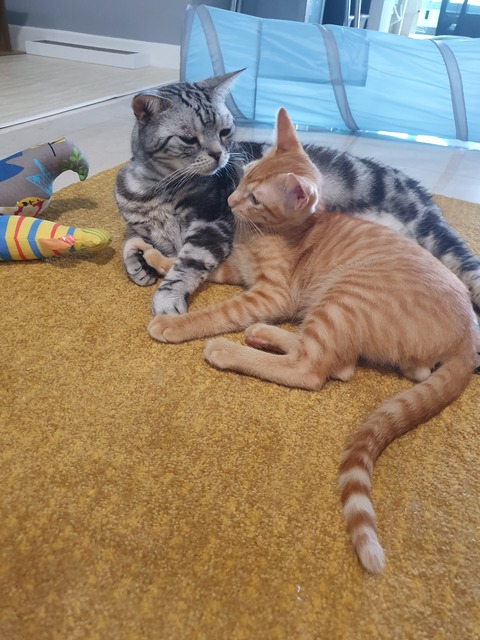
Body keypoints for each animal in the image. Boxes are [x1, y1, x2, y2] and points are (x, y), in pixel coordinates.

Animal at [114, 71, 480, 322]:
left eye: (225, 131)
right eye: (189, 139)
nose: (220, 155)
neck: (157, 187)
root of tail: (420, 189)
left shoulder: (210, 226)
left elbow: (186, 263)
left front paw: (167, 298)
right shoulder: (141, 226)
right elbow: (129, 242)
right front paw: (138, 267)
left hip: (435, 236)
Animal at [143, 108, 478, 573]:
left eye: (256, 199)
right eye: (243, 177)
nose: (230, 201)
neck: (260, 235)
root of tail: (470, 330)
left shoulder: (269, 294)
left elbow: (216, 313)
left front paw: (175, 324)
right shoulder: (237, 271)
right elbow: (193, 264)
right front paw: (156, 257)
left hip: (342, 298)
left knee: (315, 369)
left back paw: (230, 349)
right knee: (347, 363)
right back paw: (264, 335)